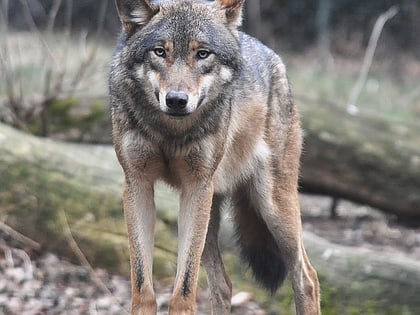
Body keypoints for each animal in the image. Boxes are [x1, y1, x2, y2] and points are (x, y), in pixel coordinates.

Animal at [110, 0, 320, 314]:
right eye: (160, 51)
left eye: (202, 54)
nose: (176, 100)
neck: (170, 133)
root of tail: (272, 56)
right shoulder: (137, 184)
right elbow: (142, 286)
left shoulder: (197, 186)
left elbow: (184, 289)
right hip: (210, 210)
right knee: (223, 285)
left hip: (270, 206)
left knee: (307, 277)